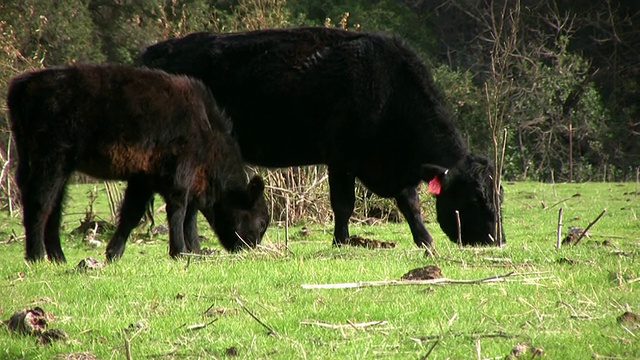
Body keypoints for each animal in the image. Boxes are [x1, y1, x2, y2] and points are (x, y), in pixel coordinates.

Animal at [8, 64, 272, 262]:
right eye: (260, 223)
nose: (249, 248)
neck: (206, 129)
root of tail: (29, 81)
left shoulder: (144, 178)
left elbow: (133, 214)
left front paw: (114, 253)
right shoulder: (179, 174)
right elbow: (179, 209)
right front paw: (180, 251)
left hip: (58, 167)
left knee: (54, 206)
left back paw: (58, 257)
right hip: (50, 160)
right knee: (40, 202)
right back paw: (36, 256)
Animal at [141, 27, 504, 248]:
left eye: (497, 195)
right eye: (474, 198)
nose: (496, 239)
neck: (386, 86)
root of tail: (155, 51)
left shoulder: (392, 165)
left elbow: (410, 204)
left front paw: (425, 241)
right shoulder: (341, 158)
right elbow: (343, 204)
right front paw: (341, 241)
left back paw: (195, 248)